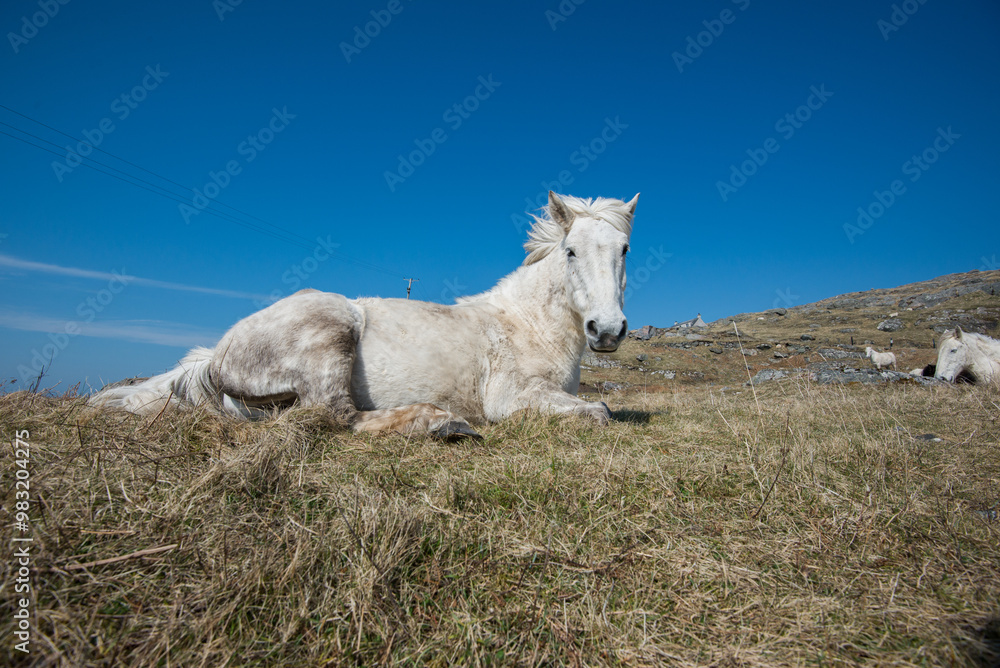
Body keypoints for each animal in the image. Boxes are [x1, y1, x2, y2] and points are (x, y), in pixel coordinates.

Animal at [90, 191, 640, 439]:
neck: (526, 326)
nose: (608, 331)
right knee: (336, 414)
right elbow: (599, 410)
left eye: (625, 250)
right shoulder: (513, 397)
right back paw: (438, 423)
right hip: (330, 333)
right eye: (570, 251)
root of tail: (218, 354)